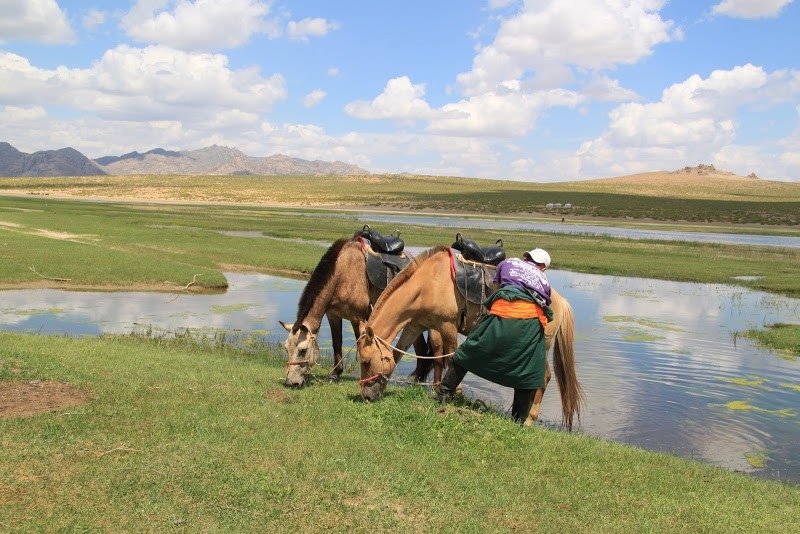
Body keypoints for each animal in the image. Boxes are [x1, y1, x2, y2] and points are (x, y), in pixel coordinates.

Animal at [282, 239, 432, 390]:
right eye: (286, 349)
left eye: (302, 350)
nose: (291, 383)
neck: (342, 274)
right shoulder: (333, 315)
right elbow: (336, 343)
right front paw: (335, 375)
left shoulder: (357, 318)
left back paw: (417, 382)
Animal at [360, 247, 584, 432]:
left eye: (366, 361)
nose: (366, 397)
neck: (428, 283)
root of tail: (560, 301)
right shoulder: (415, 326)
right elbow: (397, 355)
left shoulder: (448, 326)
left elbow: (451, 358)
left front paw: (453, 395)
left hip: (542, 345)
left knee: (544, 377)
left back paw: (530, 418)